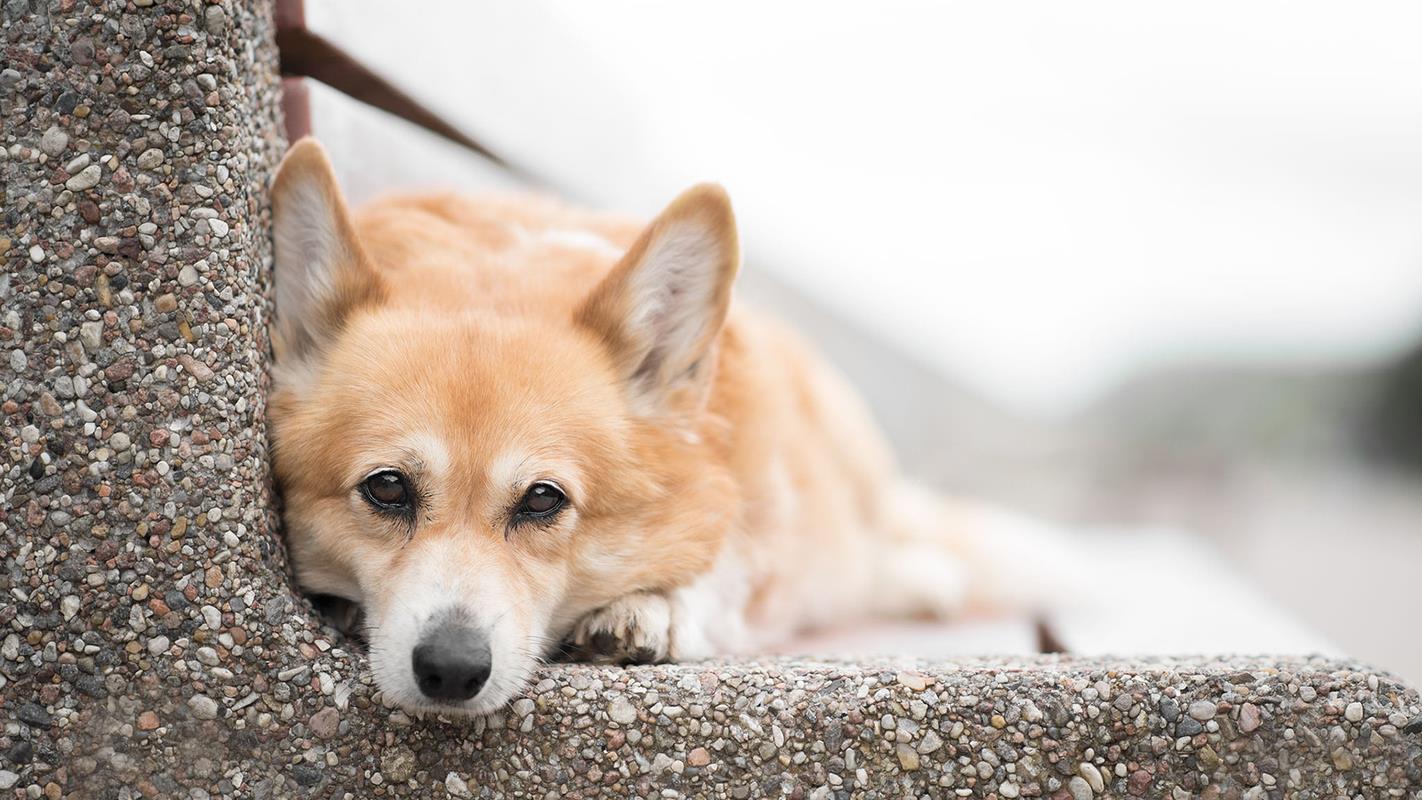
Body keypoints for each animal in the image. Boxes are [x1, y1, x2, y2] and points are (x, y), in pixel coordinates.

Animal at [267, 139, 1069, 719]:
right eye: (387, 489)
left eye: (543, 500)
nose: (451, 671)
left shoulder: (753, 520)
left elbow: (728, 567)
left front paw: (651, 610)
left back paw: (921, 576)